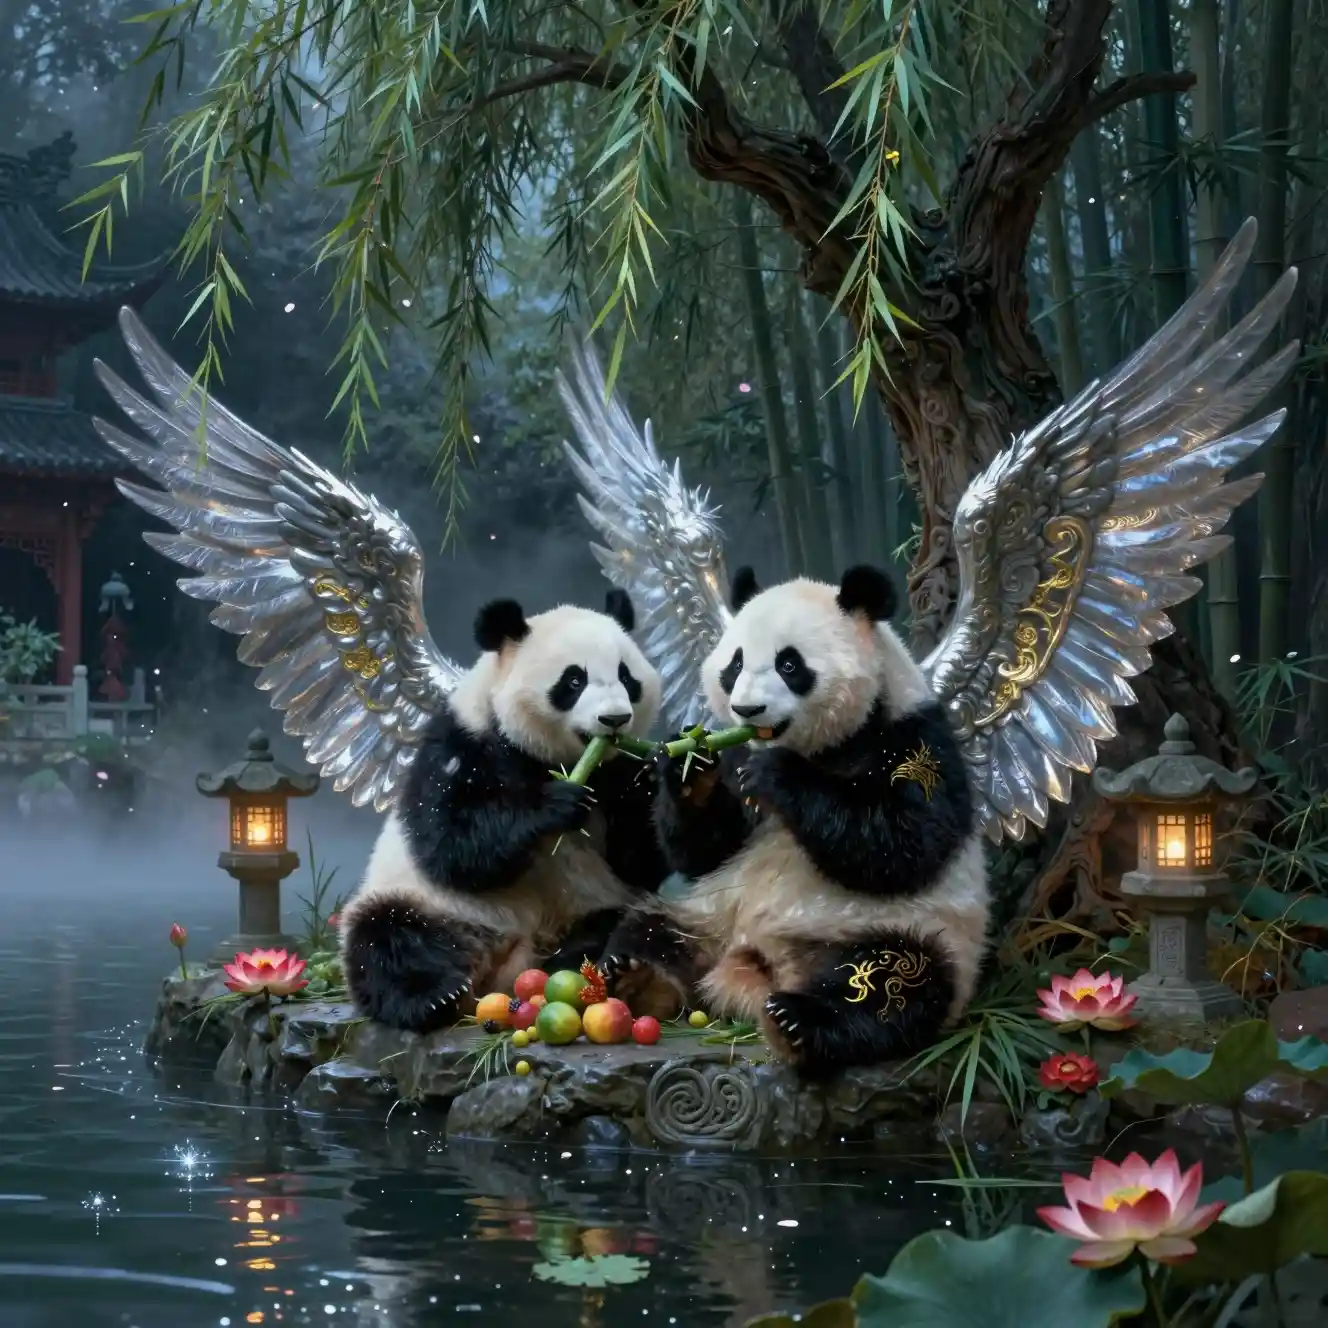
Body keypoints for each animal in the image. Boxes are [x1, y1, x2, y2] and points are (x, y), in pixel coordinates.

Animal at [339, 588, 668, 1034]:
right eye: (574, 680)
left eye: (627, 677)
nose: (614, 719)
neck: (555, 759)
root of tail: (501, 975)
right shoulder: (462, 746)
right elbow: (454, 846)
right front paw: (556, 804)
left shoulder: (613, 772)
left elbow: (638, 861)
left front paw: (660, 774)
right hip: (430, 904)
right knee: (385, 937)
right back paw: (434, 997)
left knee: (631, 921)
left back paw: (609, 964)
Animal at [598, 563, 989, 1078]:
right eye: (735, 665)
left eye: (789, 665)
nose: (747, 709)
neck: (827, 745)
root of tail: (758, 963)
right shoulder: (737, 753)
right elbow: (707, 851)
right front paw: (690, 766)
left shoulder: (913, 737)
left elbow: (902, 844)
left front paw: (778, 774)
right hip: (707, 915)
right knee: (647, 928)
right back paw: (638, 977)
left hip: (901, 931)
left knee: (896, 987)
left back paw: (798, 1021)